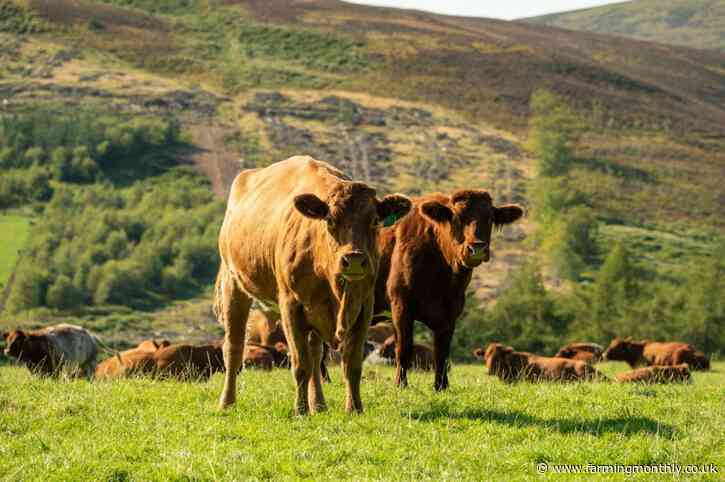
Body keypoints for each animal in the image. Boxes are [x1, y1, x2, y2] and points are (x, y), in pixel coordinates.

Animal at [212, 155, 410, 414]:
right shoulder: (291, 307)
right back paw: (227, 402)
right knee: (234, 348)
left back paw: (320, 404)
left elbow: (351, 365)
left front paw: (354, 408)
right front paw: (300, 410)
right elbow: (300, 364)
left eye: (375, 220)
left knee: (316, 354)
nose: (354, 259)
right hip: (234, 285)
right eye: (330, 220)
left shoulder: (363, 307)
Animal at [374, 190, 520, 390]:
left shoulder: (451, 312)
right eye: (457, 217)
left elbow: (442, 353)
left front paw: (441, 386)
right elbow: (403, 348)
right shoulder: (400, 305)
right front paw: (401, 384)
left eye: (490, 218)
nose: (477, 248)